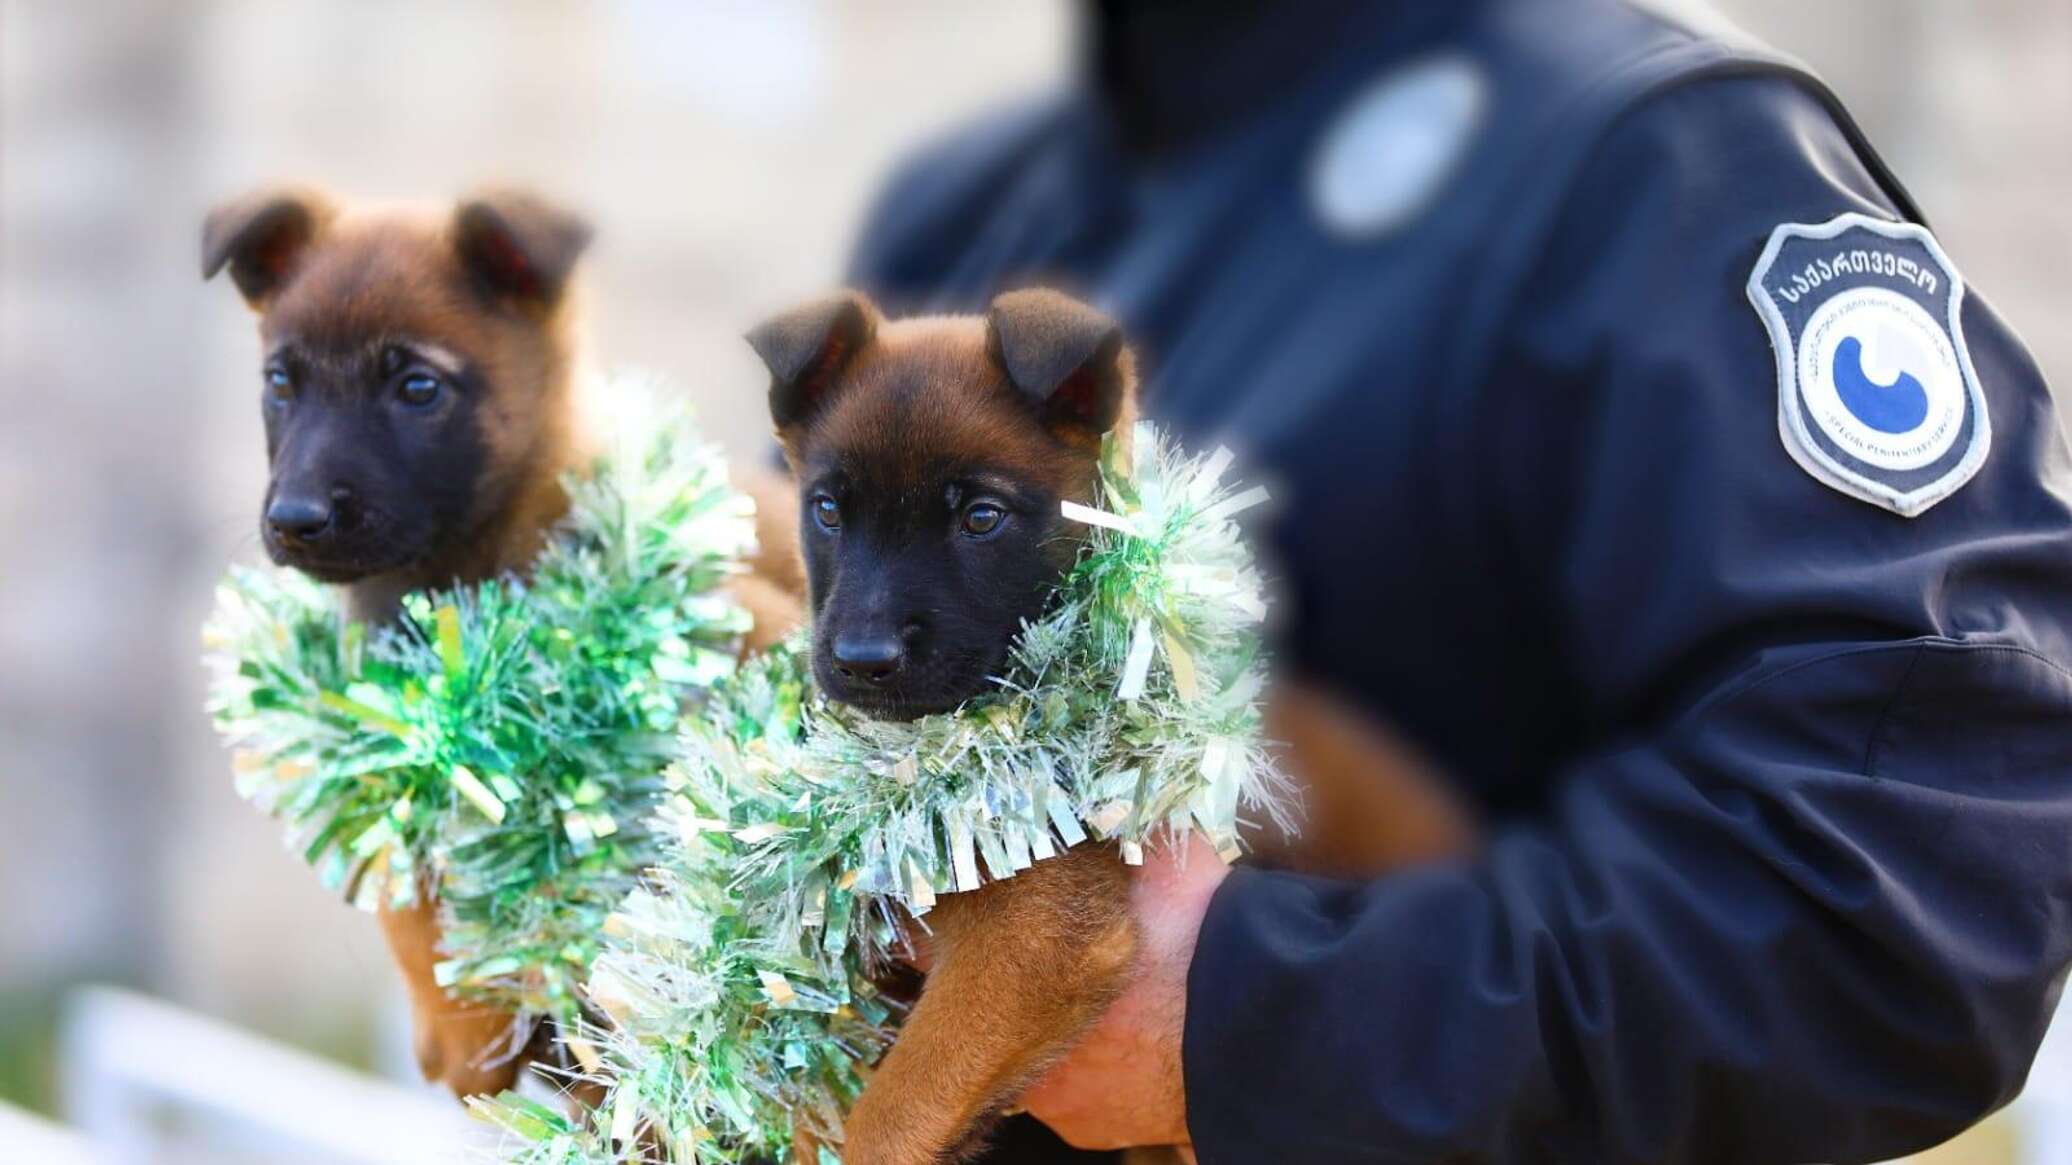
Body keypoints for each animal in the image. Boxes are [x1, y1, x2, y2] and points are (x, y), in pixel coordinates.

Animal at [202, 183, 799, 1094]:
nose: (295, 520)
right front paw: (459, 1018)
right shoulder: (380, 738)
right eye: (280, 381)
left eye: (417, 386)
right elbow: (404, 875)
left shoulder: (762, 630)